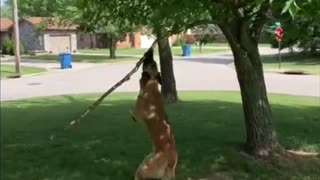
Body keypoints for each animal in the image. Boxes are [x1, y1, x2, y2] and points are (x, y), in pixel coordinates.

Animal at [131, 48, 179, 179]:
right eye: (155, 63)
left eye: (150, 62)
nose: (150, 50)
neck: (151, 87)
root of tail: (170, 160)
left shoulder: (136, 113)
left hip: (145, 166)